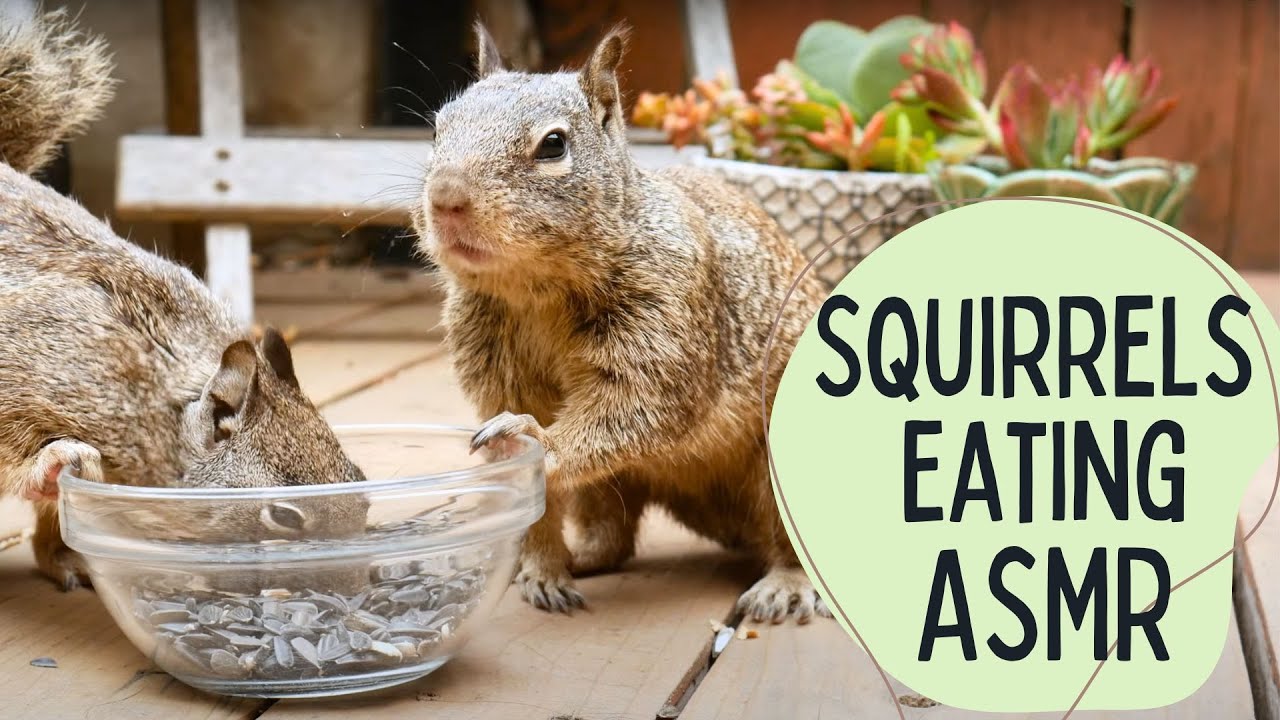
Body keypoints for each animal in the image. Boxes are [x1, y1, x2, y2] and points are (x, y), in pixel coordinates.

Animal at [413, 24, 831, 623]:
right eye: (437, 128)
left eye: (554, 144)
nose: (446, 197)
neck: (534, 292)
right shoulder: (497, 369)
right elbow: (535, 503)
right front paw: (540, 564)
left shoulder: (665, 318)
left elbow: (634, 404)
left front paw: (537, 438)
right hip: (615, 486)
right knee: (614, 535)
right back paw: (571, 560)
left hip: (779, 477)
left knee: (790, 548)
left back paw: (786, 585)